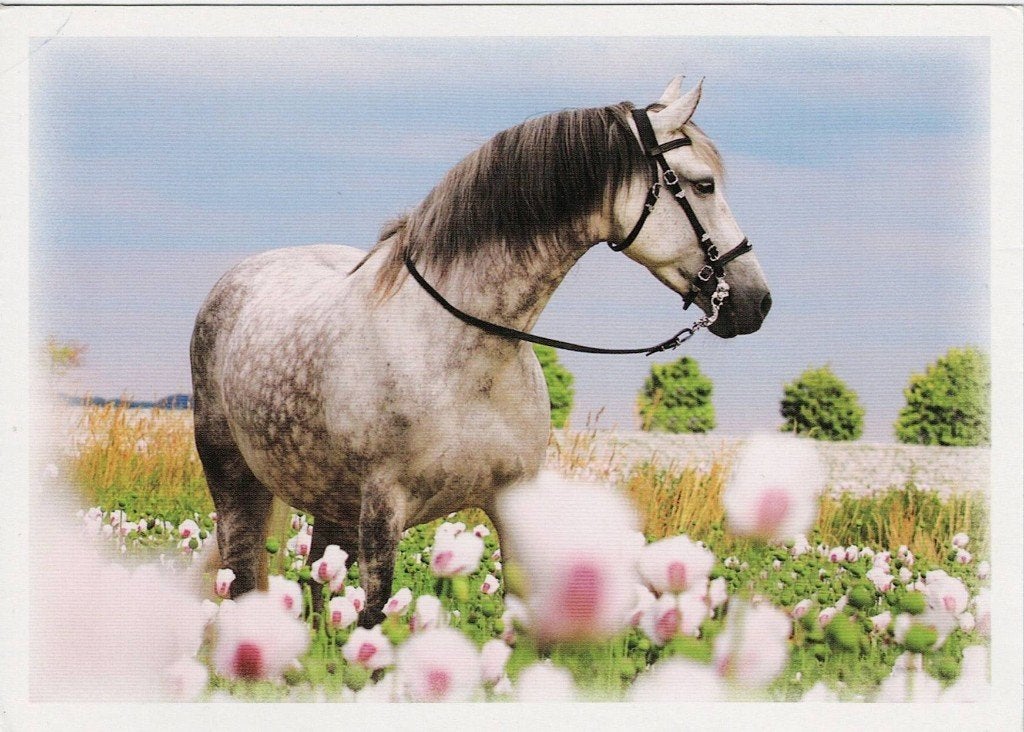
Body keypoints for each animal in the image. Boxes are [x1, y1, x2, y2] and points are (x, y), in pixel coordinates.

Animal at [190, 77, 771, 627]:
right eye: (703, 184)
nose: (756, 302)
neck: (465, 356)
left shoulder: (510, 507)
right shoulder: (382, 511)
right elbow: (374, 618)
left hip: (331, 503)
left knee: (318, 585)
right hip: (238, 486)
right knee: (244, 577)